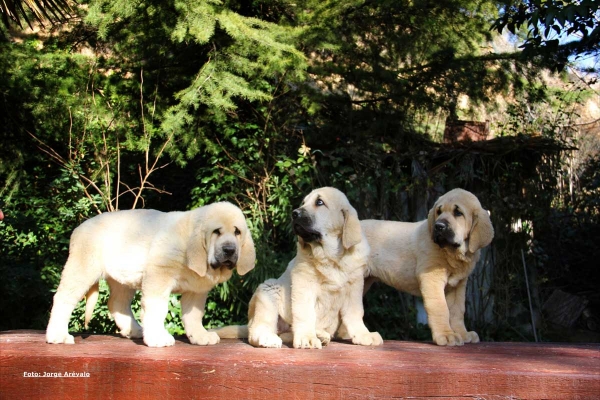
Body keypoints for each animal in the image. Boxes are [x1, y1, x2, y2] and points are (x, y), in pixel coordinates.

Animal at [45, 203, 255, 346]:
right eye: (216, 232)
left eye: (237, 232)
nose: (229, 250)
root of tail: (78, 229)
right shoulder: (159, 276)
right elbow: (157, 308)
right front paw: (158, 338)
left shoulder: (196, 290)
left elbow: (194, 315)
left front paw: (200, 335)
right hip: (82, 268)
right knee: (63, 298)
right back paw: (57, 335)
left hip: (122, 278)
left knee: (116, 304)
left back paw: (135, 330)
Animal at [216, 187, 384, 346]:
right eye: (303, 203)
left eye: (319, 202)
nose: (294, 214)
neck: (331, 257)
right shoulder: (304, 283)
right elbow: (305, 313)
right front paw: (307, 338)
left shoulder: (354, 287)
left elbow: (355, 314)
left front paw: (363, 334)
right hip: (268, 290)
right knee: (259, 329)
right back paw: (268, 337)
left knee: (286, 332)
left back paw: (320, 335)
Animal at [360, 189, 492, 346]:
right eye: (439, 211)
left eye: (458, 213)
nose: (439, 226)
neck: (451, 252)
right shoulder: (432, 279)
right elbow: (440, 308)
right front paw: (446, 335)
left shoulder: (458, 285)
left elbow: (457, 311)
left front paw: (462, 334)